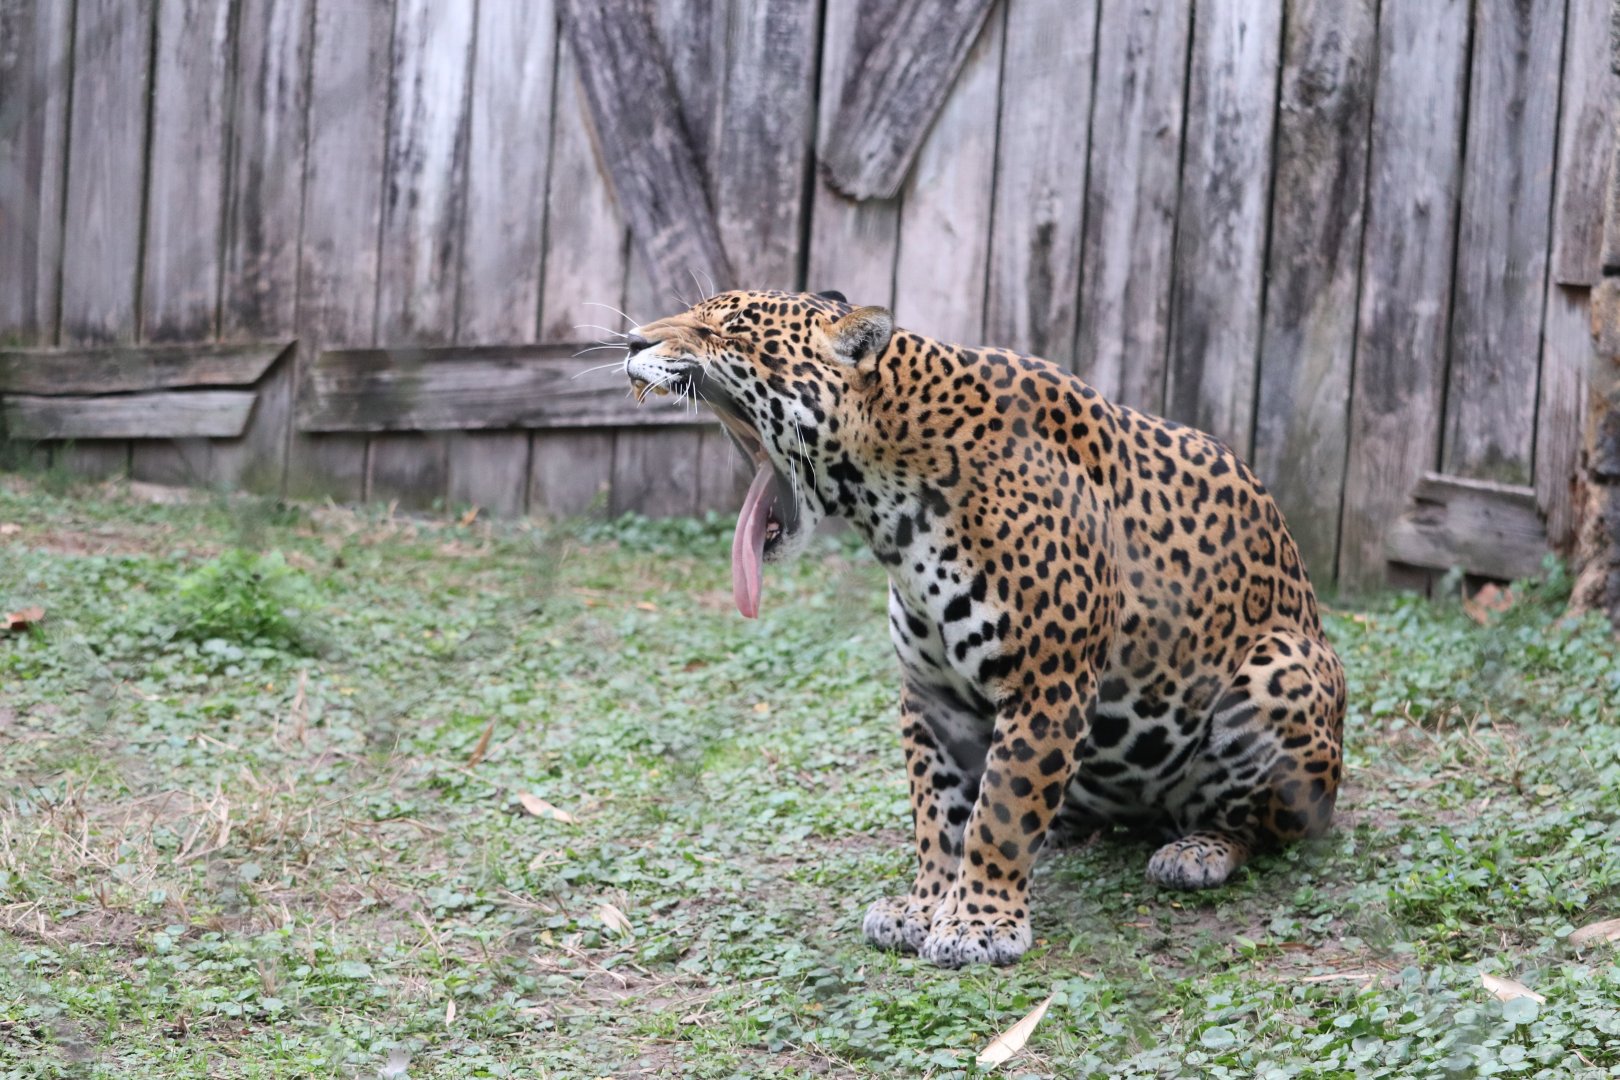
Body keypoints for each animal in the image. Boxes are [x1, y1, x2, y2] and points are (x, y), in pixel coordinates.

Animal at [622, 289, 1346, 968]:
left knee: (1265, 822)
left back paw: (1198, 851)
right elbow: (937, 814)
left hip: (1283, 670)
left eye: (726, 329)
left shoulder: (1045, 684)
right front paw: (925, 905)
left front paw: (978, 923)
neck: (893, 508)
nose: (631, 341)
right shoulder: (931, 694)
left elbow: (1001, 808)